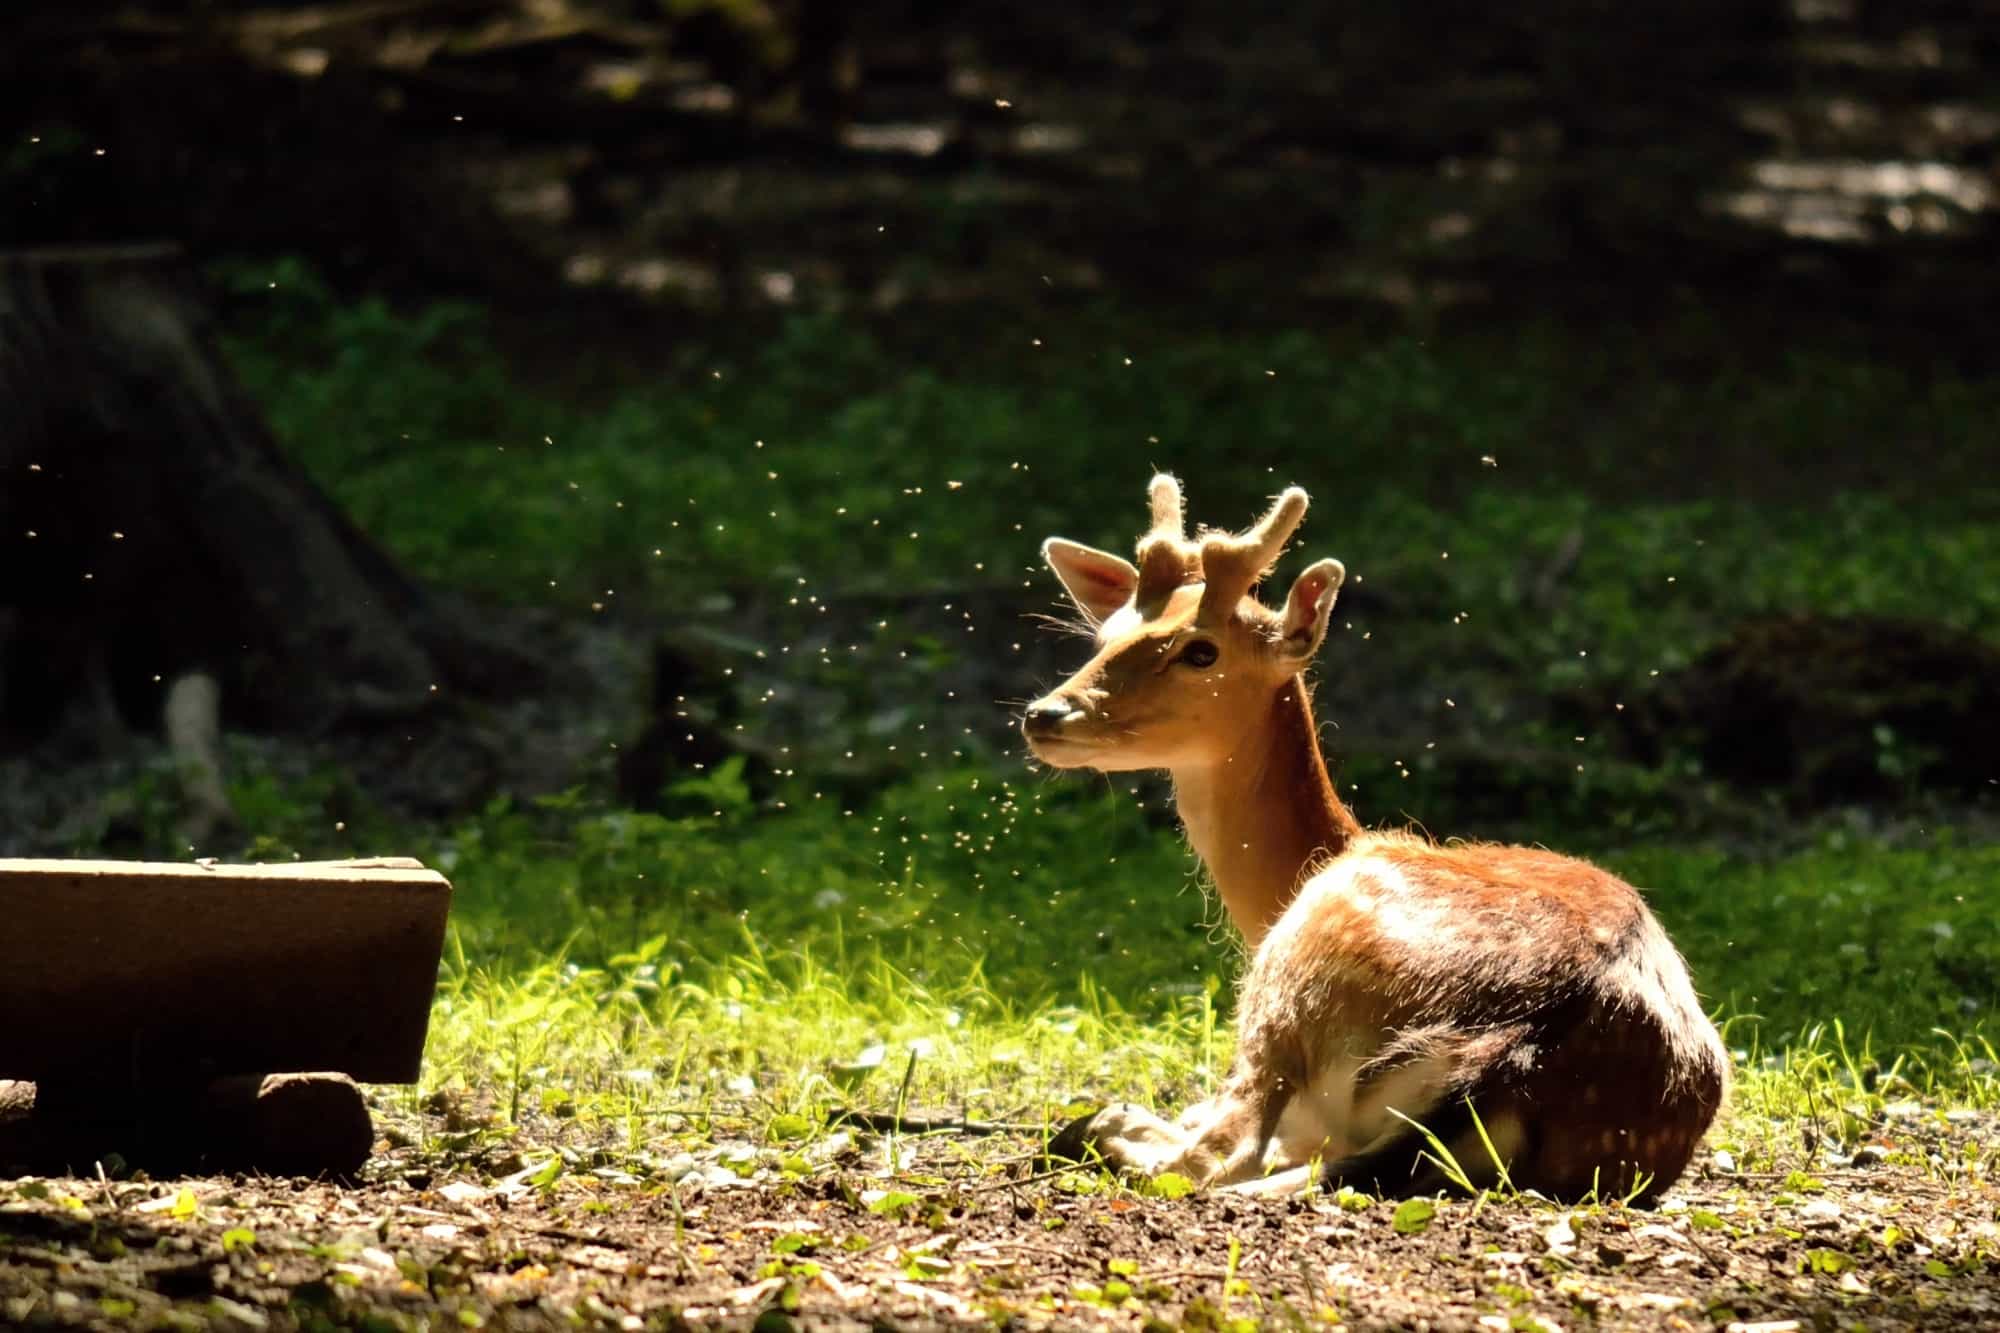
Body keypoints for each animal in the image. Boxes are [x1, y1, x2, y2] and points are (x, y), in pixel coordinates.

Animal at [1021, 475, 1728, 1201]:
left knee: (1216, 1156)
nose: (1045, 714)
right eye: (1105, 635)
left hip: (1297, 973)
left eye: (1199, 649)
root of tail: (1513, 1048)